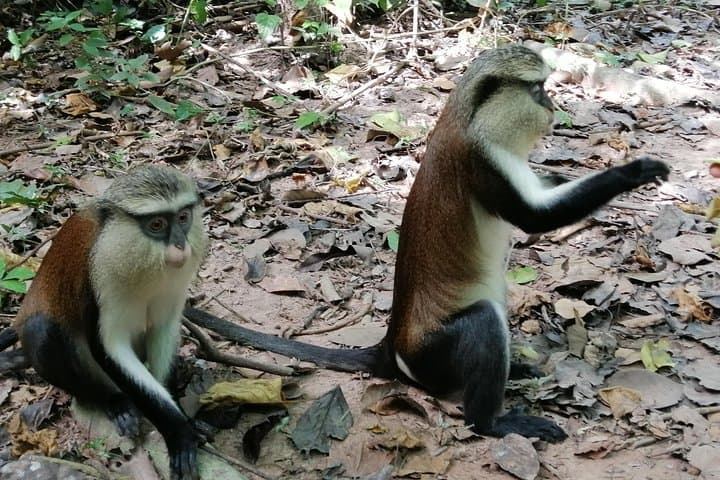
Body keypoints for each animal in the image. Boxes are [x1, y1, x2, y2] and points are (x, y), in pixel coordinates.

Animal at [12, 166, 208, 480]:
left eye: (182, 218)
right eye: (156, 225)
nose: (180, 245)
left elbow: (162, 329)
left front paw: (178, 409)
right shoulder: (102, 283)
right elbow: (109, 346)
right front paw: (179, 433)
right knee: (42, 331)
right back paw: (116, 402)